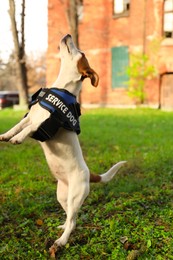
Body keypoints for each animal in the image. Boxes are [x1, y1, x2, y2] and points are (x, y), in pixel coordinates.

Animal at [0, 34, 127, 256]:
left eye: (81, 52)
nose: (68, 35)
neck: (62, 87)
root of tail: (90, 174)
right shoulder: (30, 117)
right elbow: (18, 125)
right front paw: (6, 135)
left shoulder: (43, 123)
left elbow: (28, 129)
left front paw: (18, 139)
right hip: (62, 196)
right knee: (70, 219)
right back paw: (62, 227)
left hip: (76, 196)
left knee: (73, 221)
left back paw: (61, 241)